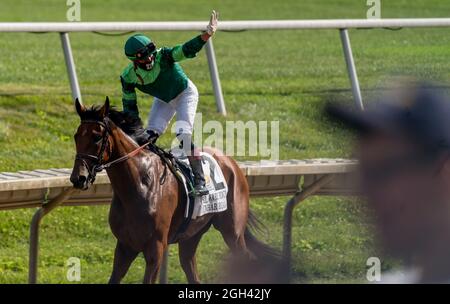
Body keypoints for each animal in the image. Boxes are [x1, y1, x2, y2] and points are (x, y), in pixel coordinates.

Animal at [70, 97, 278, 282]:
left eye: (97, 137)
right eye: (76, 136)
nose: (78, 178)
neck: (139, 185)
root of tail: (231, 162)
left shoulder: (155, 248)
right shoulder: (124, 246)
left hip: (232, 232)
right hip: (191, 235)